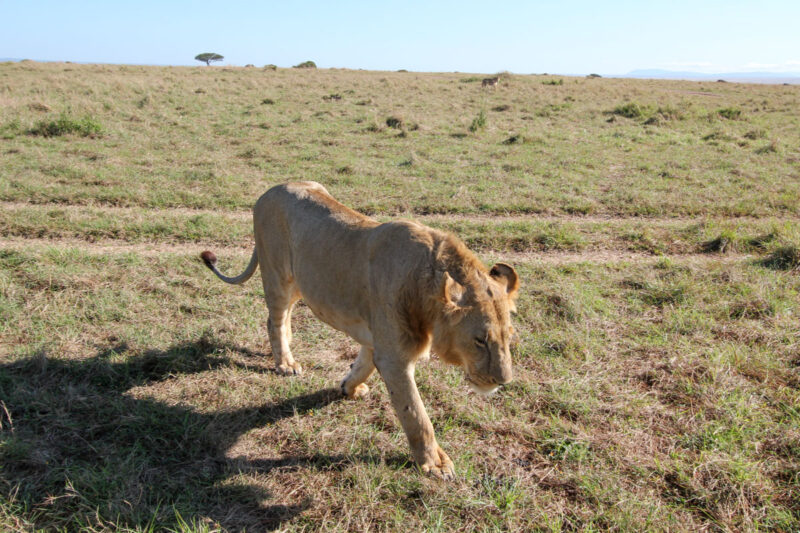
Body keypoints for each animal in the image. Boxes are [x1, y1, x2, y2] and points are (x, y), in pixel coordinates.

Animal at [200, 182, 520, 478]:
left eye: (508, 338)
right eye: (480, 340)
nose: (503, 381)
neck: (424, 283)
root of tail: (270, 190)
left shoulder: (377, 338)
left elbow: (363, 364)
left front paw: (349, 388)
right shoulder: (395, 359)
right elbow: (416, 414)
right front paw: (435, 464)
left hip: (300, 282)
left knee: (286, 316)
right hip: (277, 275)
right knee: (274, 320)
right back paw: (286, 363)